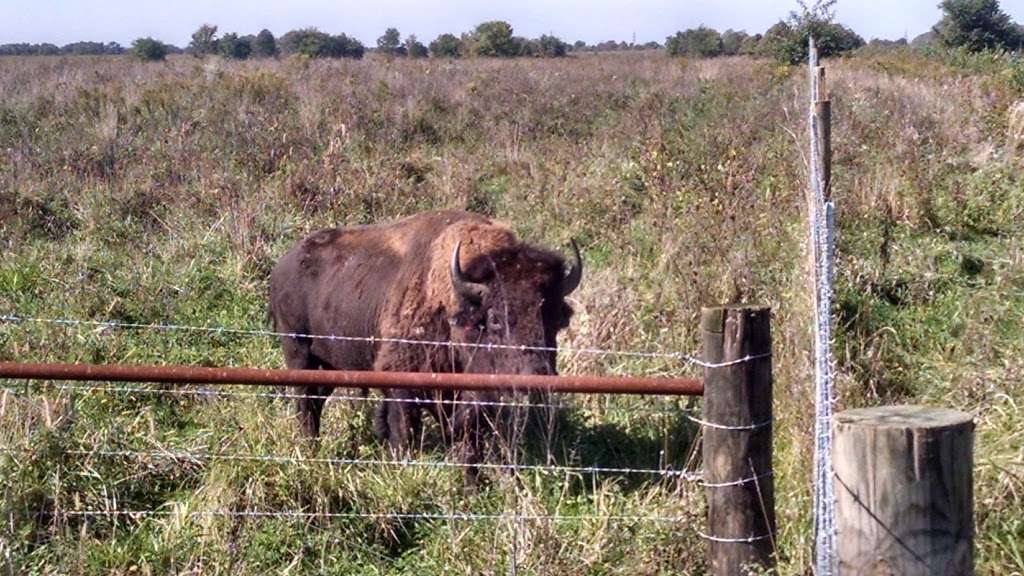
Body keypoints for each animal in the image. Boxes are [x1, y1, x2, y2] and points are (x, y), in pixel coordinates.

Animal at [268, 208, 581, 477]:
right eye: (495, 319)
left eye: (556, 318)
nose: (536, 377)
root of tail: (283, 264)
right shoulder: (403, 383)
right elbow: (404, 431)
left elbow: (468, 441)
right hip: (298, 351)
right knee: (305, 403)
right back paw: (309, 450)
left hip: (331, 365)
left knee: (317, 399)